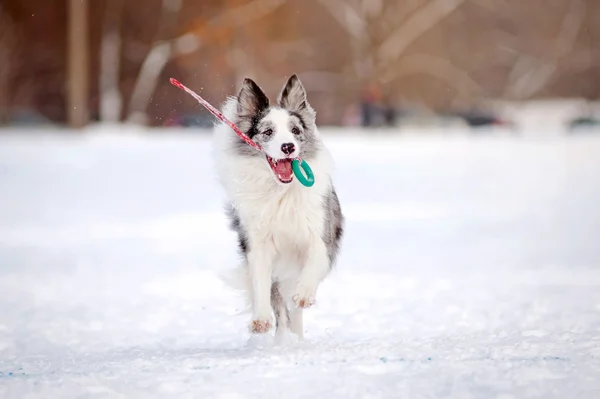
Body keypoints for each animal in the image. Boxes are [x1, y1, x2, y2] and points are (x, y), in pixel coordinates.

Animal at [212, 75, 344, 340]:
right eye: (268, 132)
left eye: (295, 131)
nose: (287, 147)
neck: (281, 191)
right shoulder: (258, 244)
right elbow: (261, 283)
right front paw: (261, 319)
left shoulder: (320, 233)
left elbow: (314, 261)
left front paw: (304, 294)